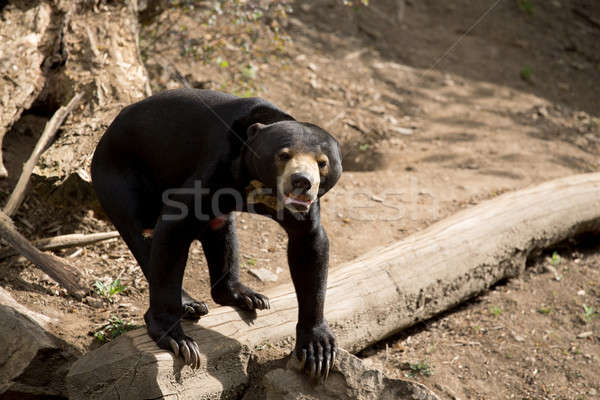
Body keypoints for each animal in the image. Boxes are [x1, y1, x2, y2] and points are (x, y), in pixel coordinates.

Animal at [89, 89, 342, 380]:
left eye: (322, 163)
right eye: (283, 155)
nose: (302, 182)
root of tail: (107, 130)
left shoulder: (302, 209)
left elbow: (310, 245)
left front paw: (317, 349)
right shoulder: (215, 167)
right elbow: (174, 225)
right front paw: (178, 340)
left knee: (220, 229)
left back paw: (245, 296)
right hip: (118, 177)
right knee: (140, 234)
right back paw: (190, 304)